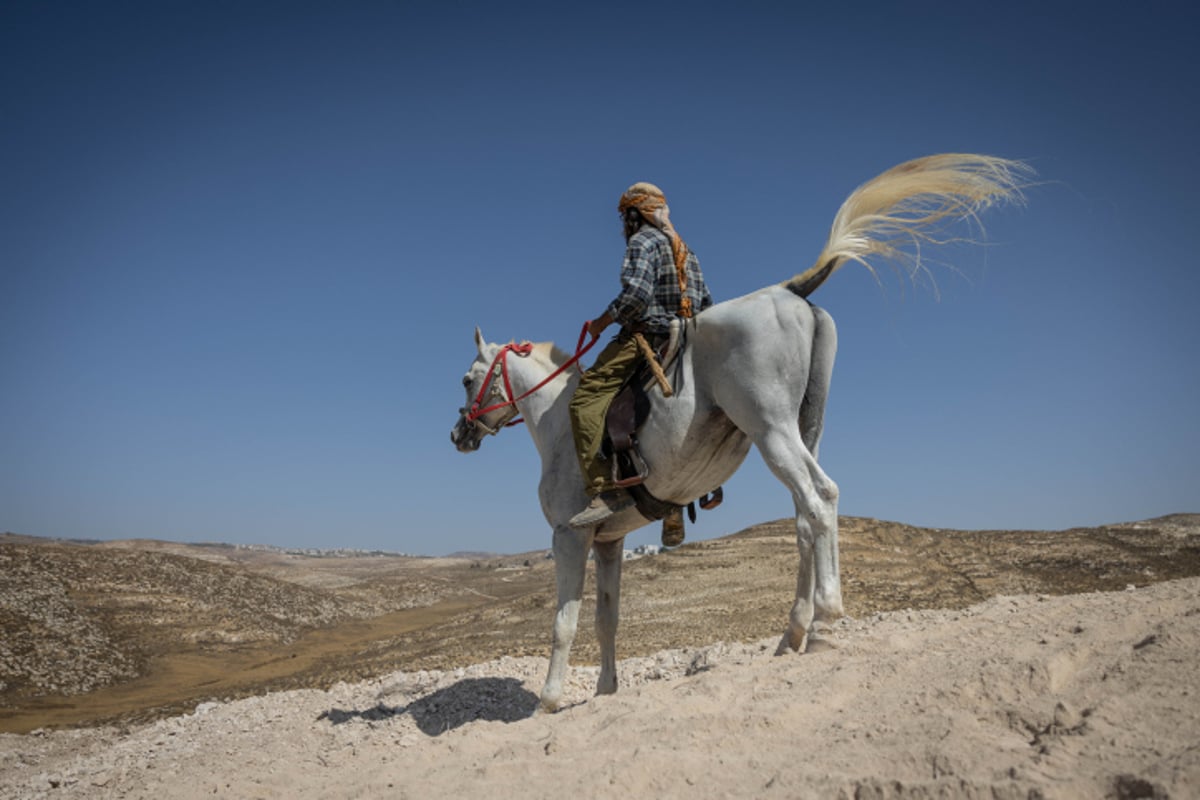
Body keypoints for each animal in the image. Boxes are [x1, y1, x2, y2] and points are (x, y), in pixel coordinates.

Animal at [451, 153, 1032, 710]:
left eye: (467, 379)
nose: (459, 434)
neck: (553, 419)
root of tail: (790, 291)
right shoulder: (610, 541)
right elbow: (606, 621)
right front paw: (605, 692)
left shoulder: (569, 536)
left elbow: (564, 623)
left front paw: (548, 701)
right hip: (804, 429)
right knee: (806, 517)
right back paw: (794, 631)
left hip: (772, 430)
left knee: (820, 498)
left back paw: (826, 617)